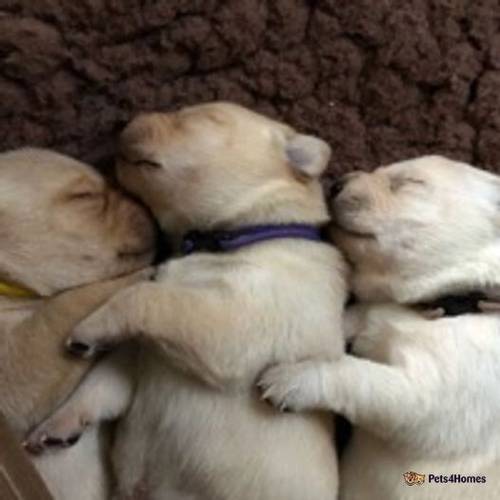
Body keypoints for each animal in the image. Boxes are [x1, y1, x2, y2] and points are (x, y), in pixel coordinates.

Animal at [260, 154, 500, 498]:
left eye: (409, 182)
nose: (336, 184)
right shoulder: (380, 311)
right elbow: (354, 316)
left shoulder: (460, 378)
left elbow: (392, 391)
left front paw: (289, 379)